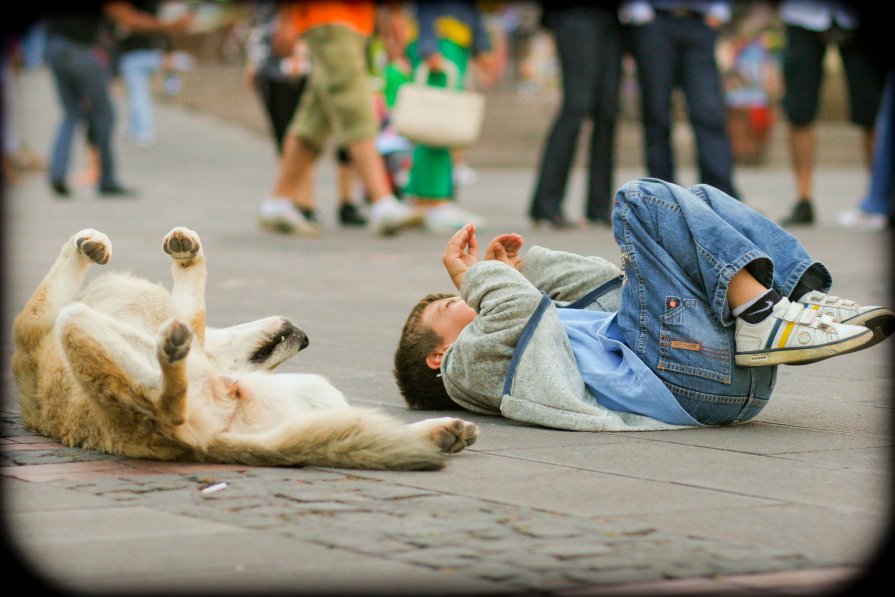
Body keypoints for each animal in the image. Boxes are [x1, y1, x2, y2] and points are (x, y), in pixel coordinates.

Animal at [10, 228, 480, 470]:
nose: (305, 337)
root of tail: (202, 443)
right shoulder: (33, 330)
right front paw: (89, 245)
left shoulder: (35, 328)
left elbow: (191, 301)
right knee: (168, 401)